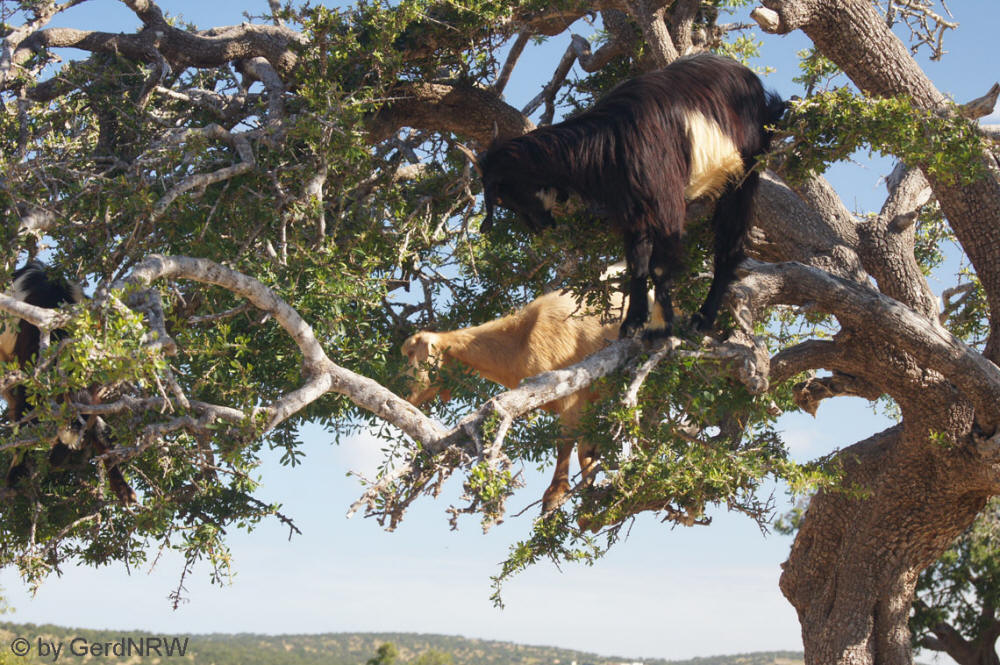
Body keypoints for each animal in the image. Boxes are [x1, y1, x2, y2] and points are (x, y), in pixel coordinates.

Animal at [402, 286, 626, 512]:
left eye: (411, 352)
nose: (405, 393)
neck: (520, 341)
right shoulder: (588, 402)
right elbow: (585, 449)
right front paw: (588, 498)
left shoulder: (571, 393)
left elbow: (564, 443)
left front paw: (555, 493)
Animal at [478, 53, 785, 339]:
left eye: (505, 195)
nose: (539, 226)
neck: (608, 141)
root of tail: (753, 82)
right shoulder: (633, 209)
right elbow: (637, 265)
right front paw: (633, 322)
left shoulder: (665, 202)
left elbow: (659, 266)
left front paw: (660, 328)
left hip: (744, 171)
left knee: (730, 244)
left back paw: (704, 317)